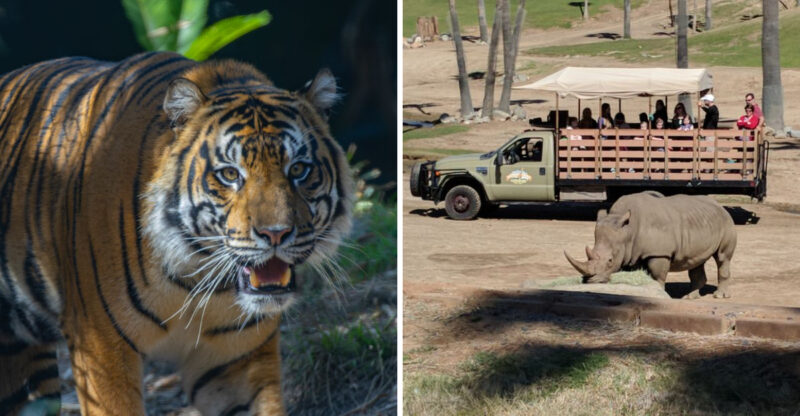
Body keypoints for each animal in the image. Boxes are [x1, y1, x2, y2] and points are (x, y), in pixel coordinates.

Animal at [0, 51, 354, 415]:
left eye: (298, 169)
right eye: (230, 174)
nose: (276, 234)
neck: (197, 276)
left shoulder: (236, 360)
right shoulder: (100, 346)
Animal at [564, 191, 737, 299]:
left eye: (610, 261)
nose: (590, 281)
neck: (628, 230)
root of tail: (720, 205)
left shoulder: (659, 253)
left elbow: (656, 275)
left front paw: (659, 295)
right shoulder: (631, 253)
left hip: (727, 222)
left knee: (722, 258)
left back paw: (719, 296)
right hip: (702, 220)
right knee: (696, 260)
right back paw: (690, 297)